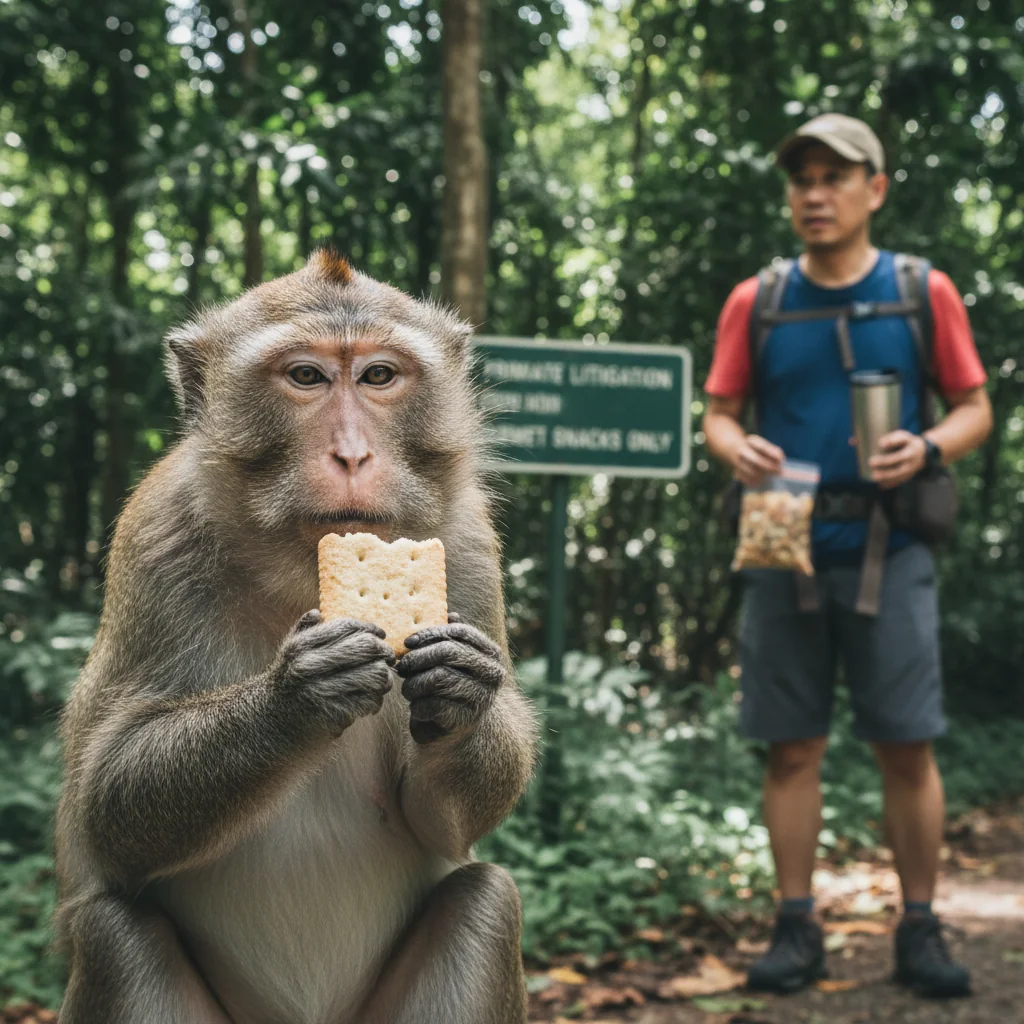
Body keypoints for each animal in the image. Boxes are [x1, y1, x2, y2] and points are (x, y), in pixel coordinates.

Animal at [54, 249, 538, 1024]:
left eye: (379, 376)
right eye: (306, 377)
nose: (352, 455)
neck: (296, 574)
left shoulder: (464, 541)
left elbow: (444, 825)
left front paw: (463, 689)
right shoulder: (155, 537)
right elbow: (105, 806)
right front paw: (297, 698)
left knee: (486, 900)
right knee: (112, 931)